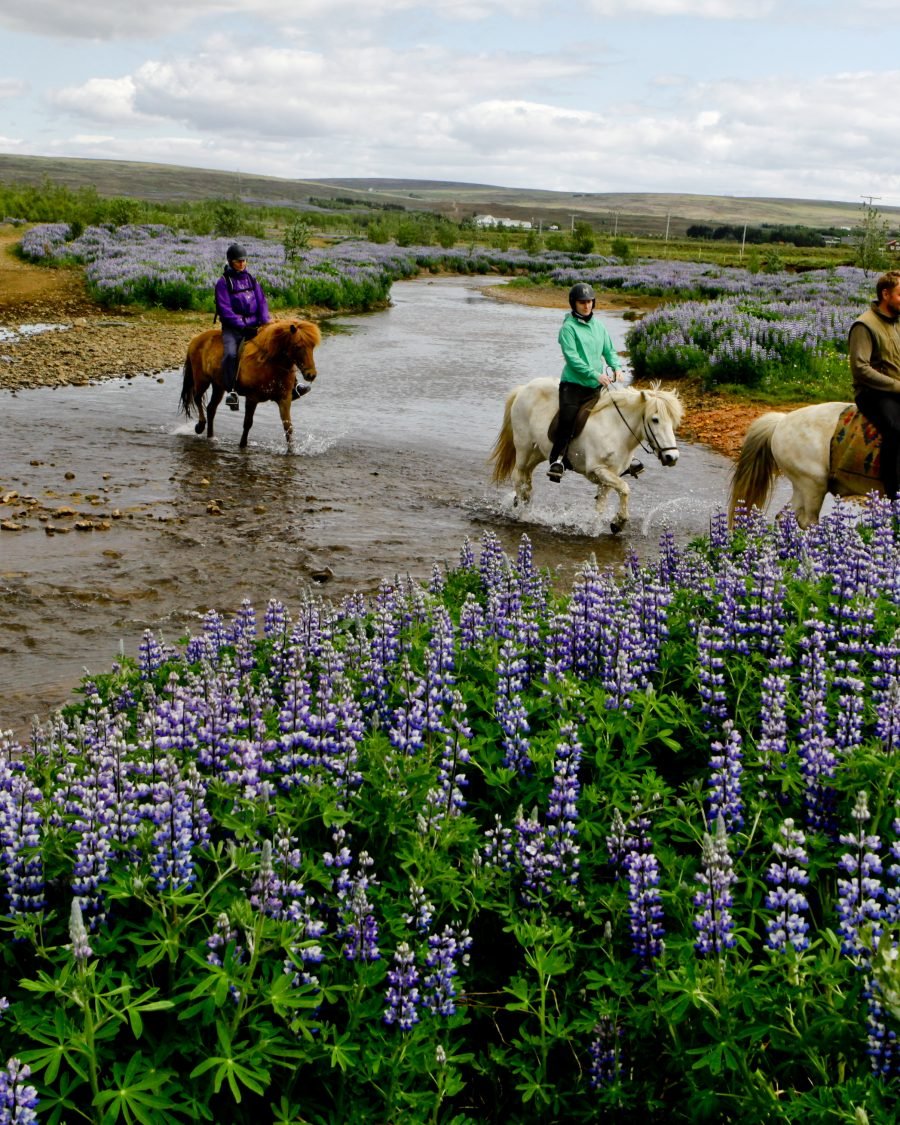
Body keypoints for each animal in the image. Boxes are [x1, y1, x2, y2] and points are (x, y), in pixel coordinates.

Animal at [179, 318, 321, 450]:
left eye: (312, 346)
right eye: (297, 346)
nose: (311, 375)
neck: (270, 364)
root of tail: (195, 339)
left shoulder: (284, 399)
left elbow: (288, 427)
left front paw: (291, 451)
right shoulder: (252, 398)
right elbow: (247, 423)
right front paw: (242, 446)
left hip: (218, 386)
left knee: (211, 409)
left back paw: (210, 437)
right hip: (202, 380)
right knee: (198, 399)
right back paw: (200, 426)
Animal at [489, 378, 683, 534]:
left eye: (673, 421)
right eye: (655, 419)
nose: (672, 457)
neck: (616, 428)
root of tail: (524, 388)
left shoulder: (609, 477)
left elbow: (601, 505)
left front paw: (598, 529)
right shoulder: (598, 470)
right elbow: (625, 488)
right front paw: (619, 522)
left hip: (540, 451)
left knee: (527, 476)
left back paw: (526, 501)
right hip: (524, 445)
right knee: (518, 475)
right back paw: (522, 511)